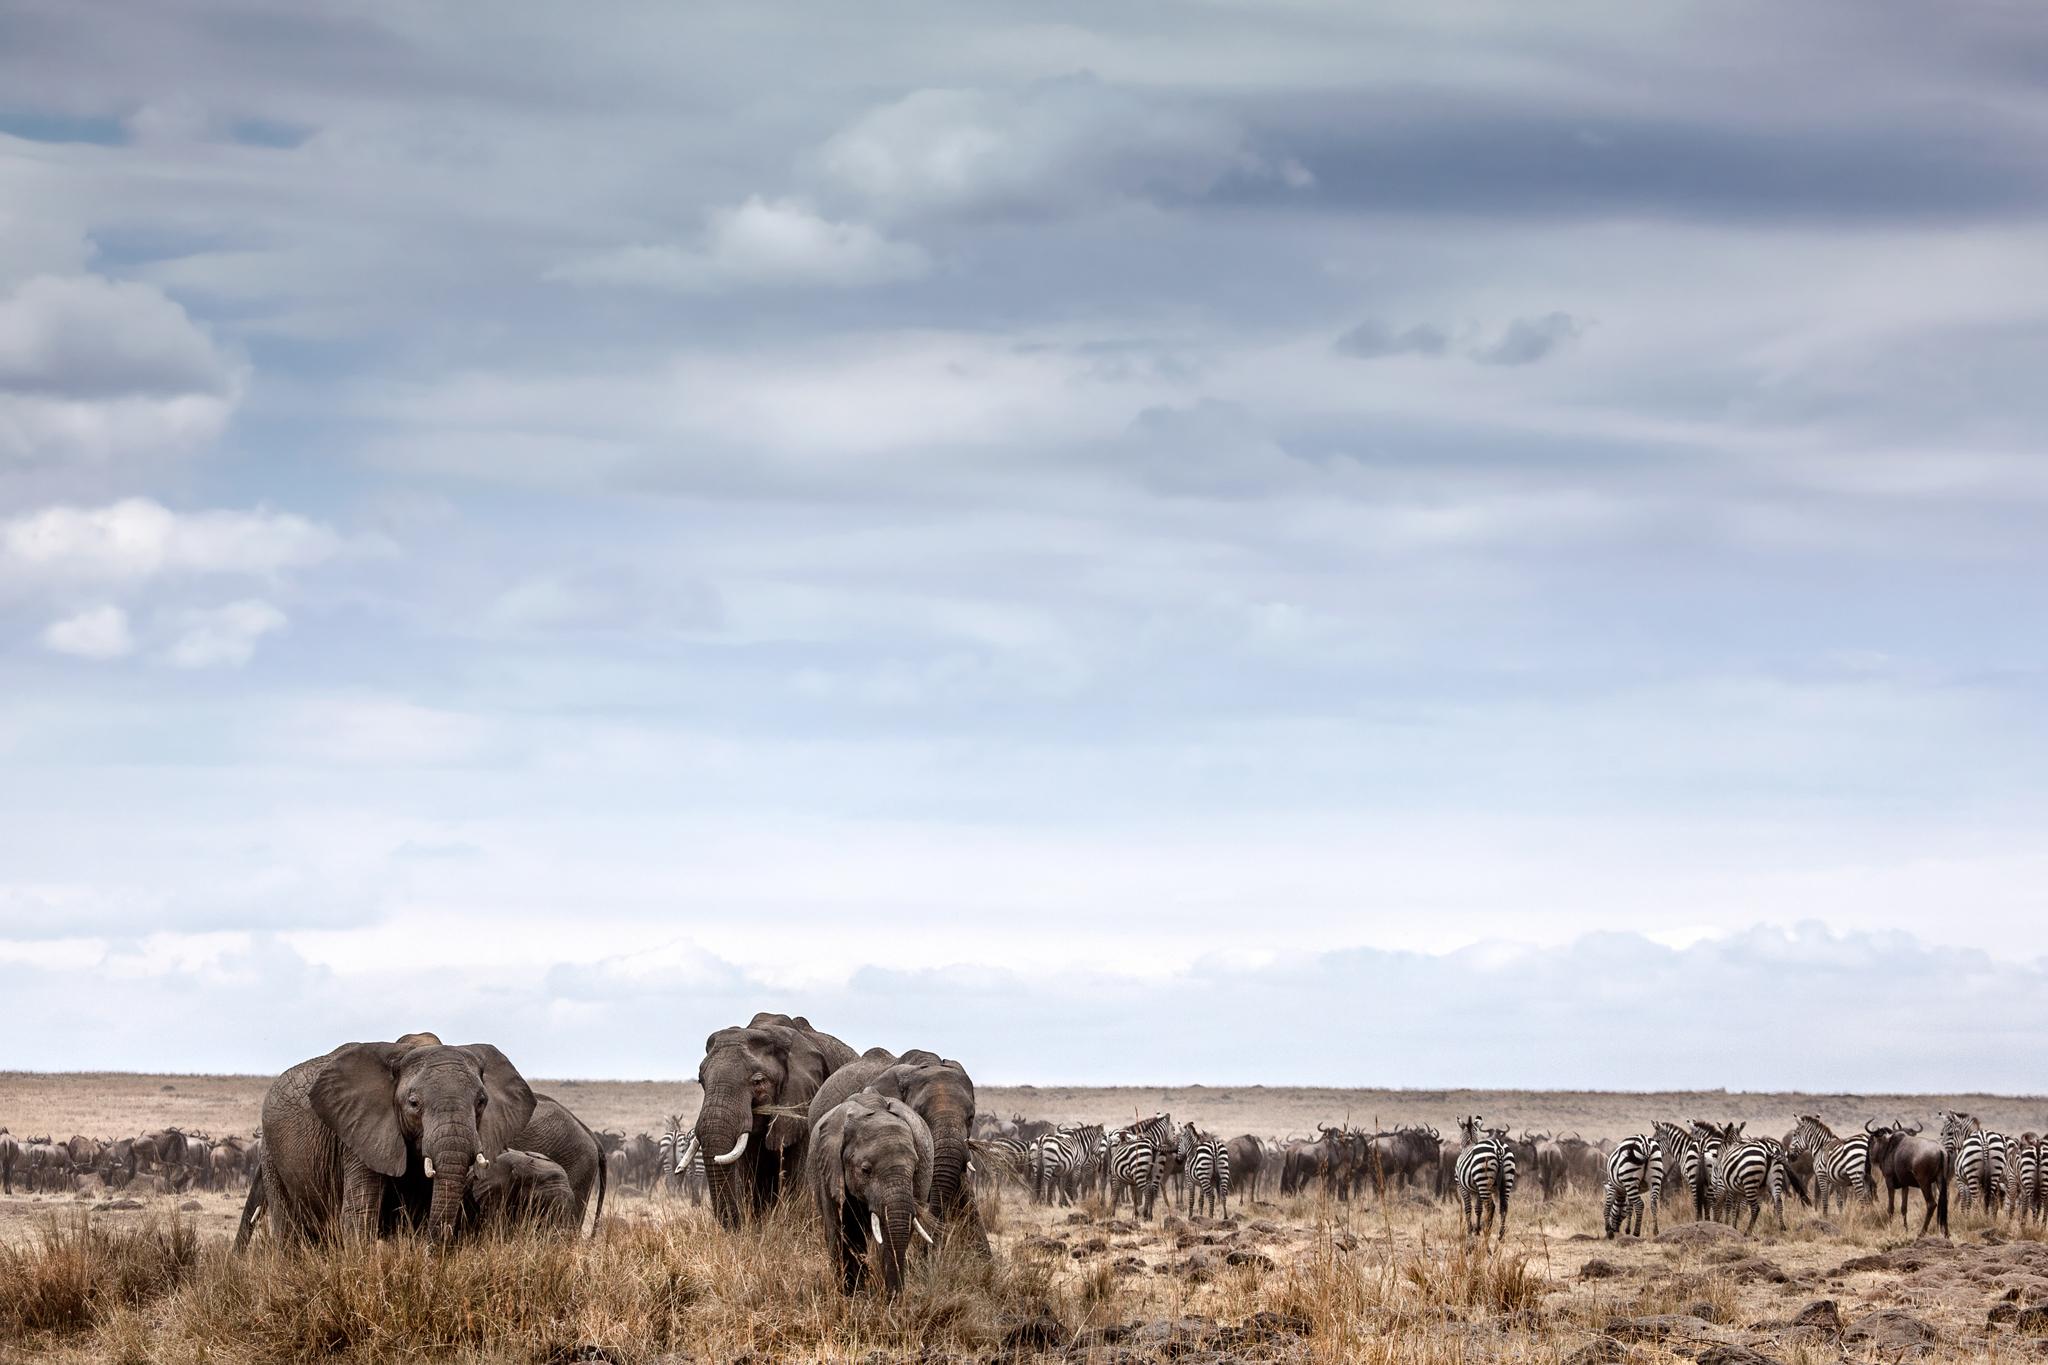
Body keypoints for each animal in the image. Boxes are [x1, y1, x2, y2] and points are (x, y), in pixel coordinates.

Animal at [234, 1035, 536, 1252]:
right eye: (414, 1103)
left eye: (482, 1102)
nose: (433, 1253)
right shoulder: (358, 1135)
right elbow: (360, 1214)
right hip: (271, 1155)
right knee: (289, 1233)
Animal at [815, 1088, 942, 1293]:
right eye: (866, 1170)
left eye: (915, 1170)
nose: (896, 1296)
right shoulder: (828, 1168)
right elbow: (837, 1230)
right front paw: (848, 1295)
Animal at [1449, 1113, 1515, 1244]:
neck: (1469, 1144)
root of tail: (1498, 1147)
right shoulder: (1477, 1190)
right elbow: (1478, 1209)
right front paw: (1477, 1229)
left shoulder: (1462, 1187)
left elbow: (1468, 1208)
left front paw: (1471, 1231)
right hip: (1506, 1179)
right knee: (1504, 1206)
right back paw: (1500, 1236)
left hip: (1483, 1180)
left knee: (1490, 1207)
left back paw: (1487, 1233)